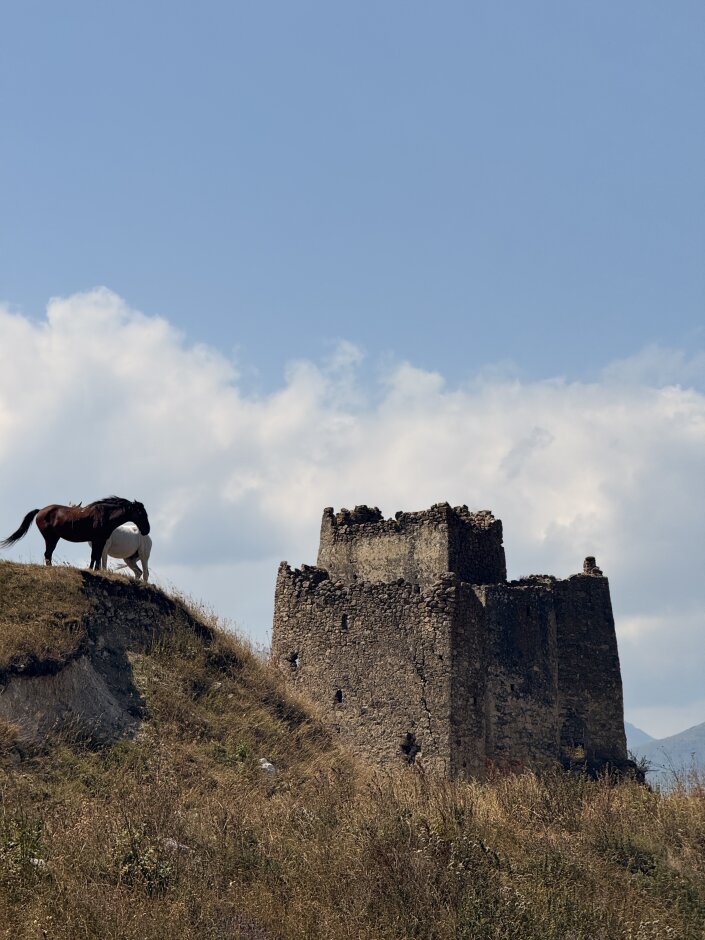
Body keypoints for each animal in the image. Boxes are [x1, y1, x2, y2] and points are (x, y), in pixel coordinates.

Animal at [0, 497, 150, 571]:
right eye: (140, 512)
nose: (147, 530)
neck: (105, 515)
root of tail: (41, 510)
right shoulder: (97, 540)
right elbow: (95, 556)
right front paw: (92, 569)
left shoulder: (100, 541)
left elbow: (96, 557)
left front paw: (95, 570)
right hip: (51, 538)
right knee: (48, 554)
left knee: (48, 554)